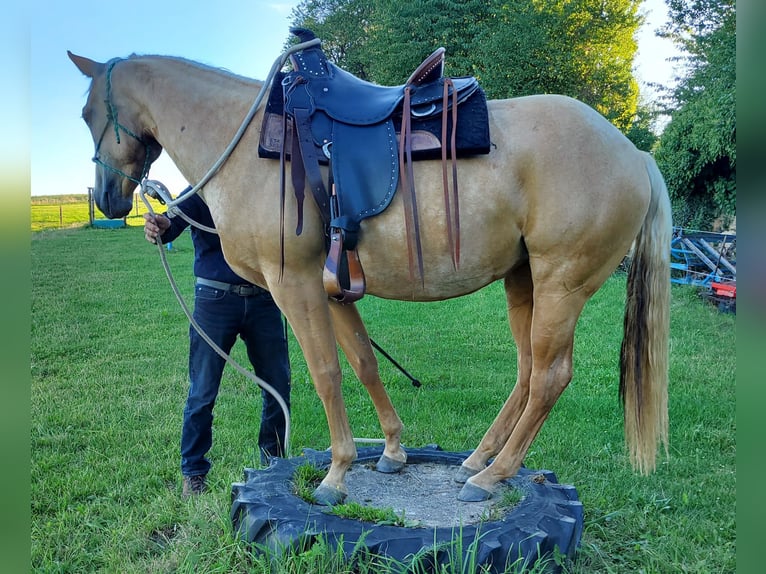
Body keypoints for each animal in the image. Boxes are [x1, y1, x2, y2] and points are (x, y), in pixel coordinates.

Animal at [70, 51, 672, 506]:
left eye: (86, 111)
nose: (107, 198)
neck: (246, 145)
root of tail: (635, 153)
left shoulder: (295, 286)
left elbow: (325, 374)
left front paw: (337, 474)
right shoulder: (332, 288)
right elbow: (362, 362)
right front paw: (392, 452)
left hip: (560, 284)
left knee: (549, 376)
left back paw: (489, 476)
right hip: (523, 281)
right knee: (527, 373)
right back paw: (477, 459)